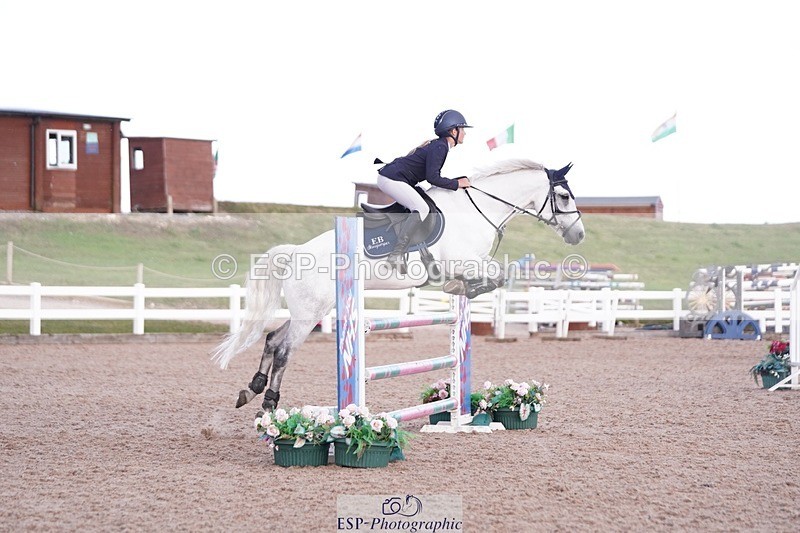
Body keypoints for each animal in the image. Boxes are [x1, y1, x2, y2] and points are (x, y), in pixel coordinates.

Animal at [211, 159, 585, 413]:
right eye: (563, 196)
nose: (578, 235)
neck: (478, 209)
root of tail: (295, 252)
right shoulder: (466, 261)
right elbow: (498, 275)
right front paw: (460, 289)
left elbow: (497, 276)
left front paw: (462, 290)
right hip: (310, 313)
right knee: (285, 349)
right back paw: (269, 402)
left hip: (314, 309)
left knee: (273, 339)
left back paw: (251, 390)